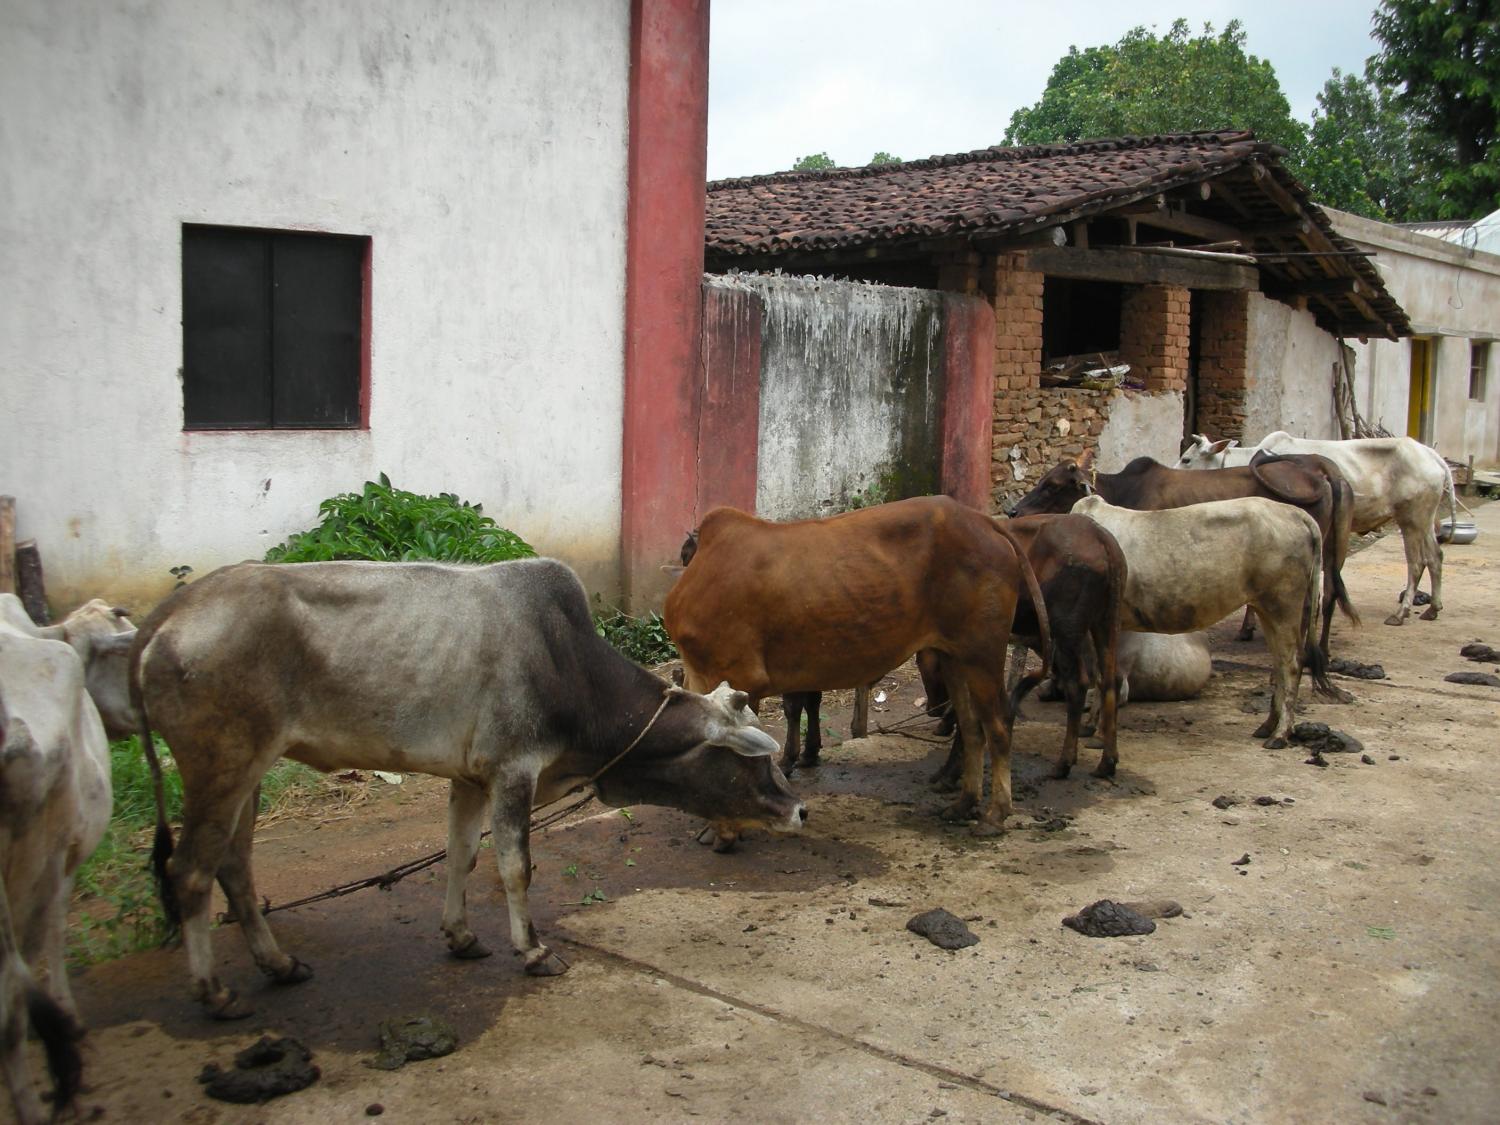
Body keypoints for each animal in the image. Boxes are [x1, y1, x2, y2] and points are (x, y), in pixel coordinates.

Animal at [663, 501, 1050, 840]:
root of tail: (984, 522)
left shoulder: (737, 676)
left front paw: (724, 832)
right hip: (953, 657)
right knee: (971, 728)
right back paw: (964, 802)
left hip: (982, 652)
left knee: (998, 726)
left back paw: (995, 813)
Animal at [1074, 495, 1332, 750]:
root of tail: (1295, 513)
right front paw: (1090, 725)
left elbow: (1105, 677)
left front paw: (1099, 734)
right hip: (1266, 609)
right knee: (1279, 664)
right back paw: (1267, 726)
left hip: (1283, 606)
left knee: (1292, 665)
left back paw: (1280, 734)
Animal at [1182, 435, 1452, 627]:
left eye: (1186, 459)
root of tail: (1432, 456)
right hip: (1424, 521)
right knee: (1435, 557)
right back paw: (1433, 609)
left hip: (1412, 520)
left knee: (1417, 563)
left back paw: (1401, 612)